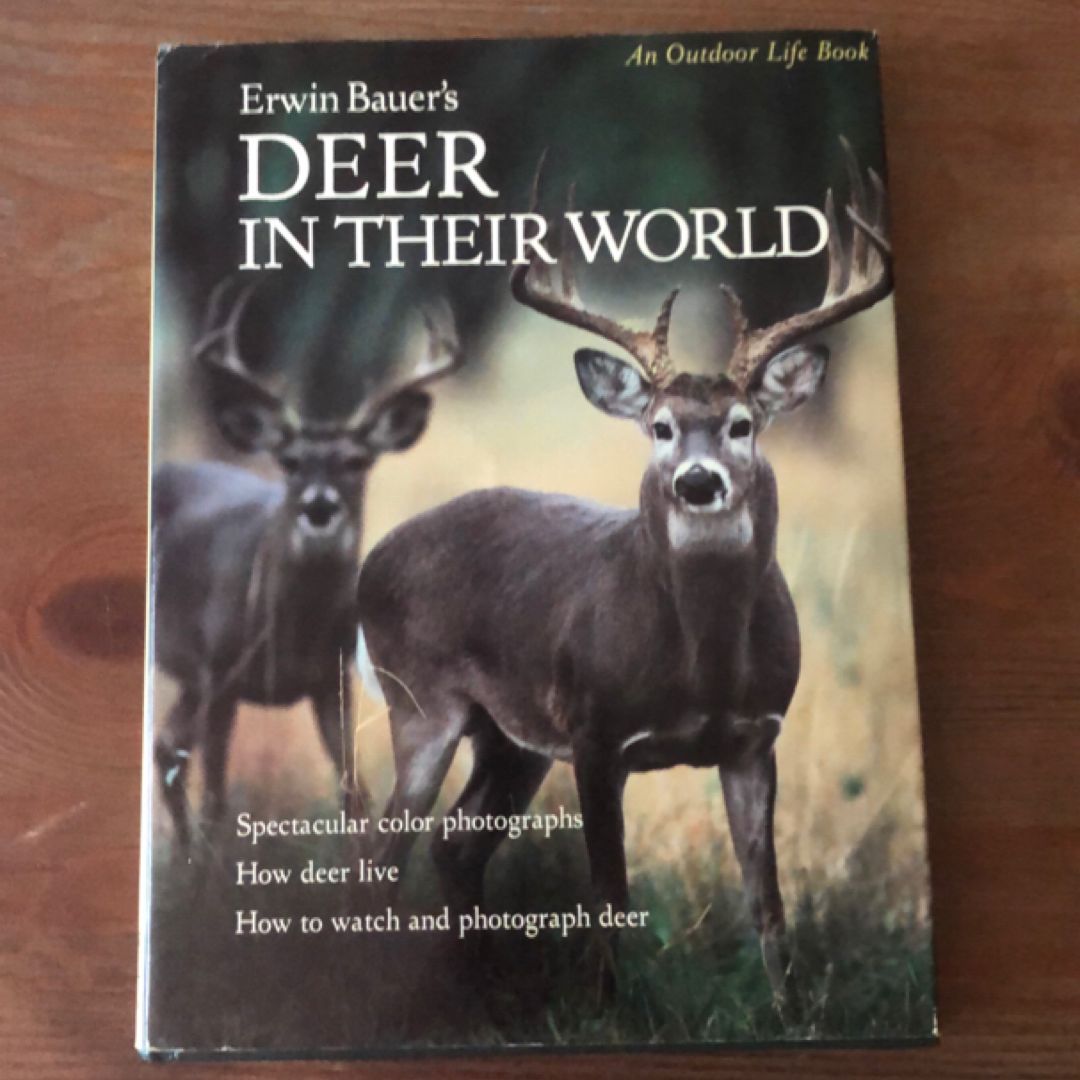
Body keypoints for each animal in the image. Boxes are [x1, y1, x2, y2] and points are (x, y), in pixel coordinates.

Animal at [151, 281, 461, 852]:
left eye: (357, 462)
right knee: (172, 753)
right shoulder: (222, 675)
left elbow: (355, 793)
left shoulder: (330, 680)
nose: (319, 506)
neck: (292, 630)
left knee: (166, 747)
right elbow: (217, 801)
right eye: (290, 462)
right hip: (197, 674)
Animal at [356, 140, 891, 1008]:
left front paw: (789, 1009)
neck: (701, 663)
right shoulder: (597, 732)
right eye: (660, 426)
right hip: (421, 703)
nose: (698, 482)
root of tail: (370, 559)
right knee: (376, 852)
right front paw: (608, 1011)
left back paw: (479, 988)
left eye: (742, 424)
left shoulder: (756, 736)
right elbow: (609, 892)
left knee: (453, 842)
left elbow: (767, 898)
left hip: (509, 738)